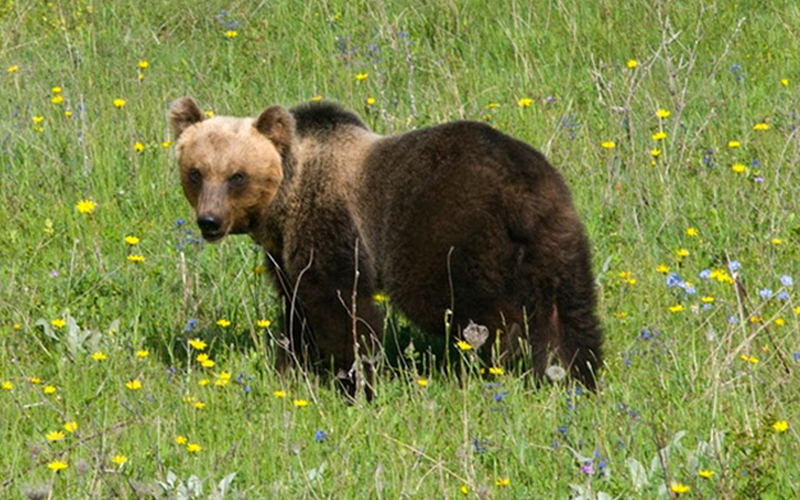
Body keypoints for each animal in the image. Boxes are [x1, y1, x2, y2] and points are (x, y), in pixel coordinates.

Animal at [169, 97, 602, 398]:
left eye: (237, 175)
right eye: (196, 172)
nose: (209, 221)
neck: (285, 200)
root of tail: (523, 192)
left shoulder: (331, 225)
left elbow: (341, 306)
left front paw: (354, 381)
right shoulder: (284, 255)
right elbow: (295, 311)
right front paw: (291, 369)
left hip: (447, 235)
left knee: (472, 306)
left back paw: (505, 358)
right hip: (556, 234)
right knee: (569, 311)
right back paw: (575, 374)